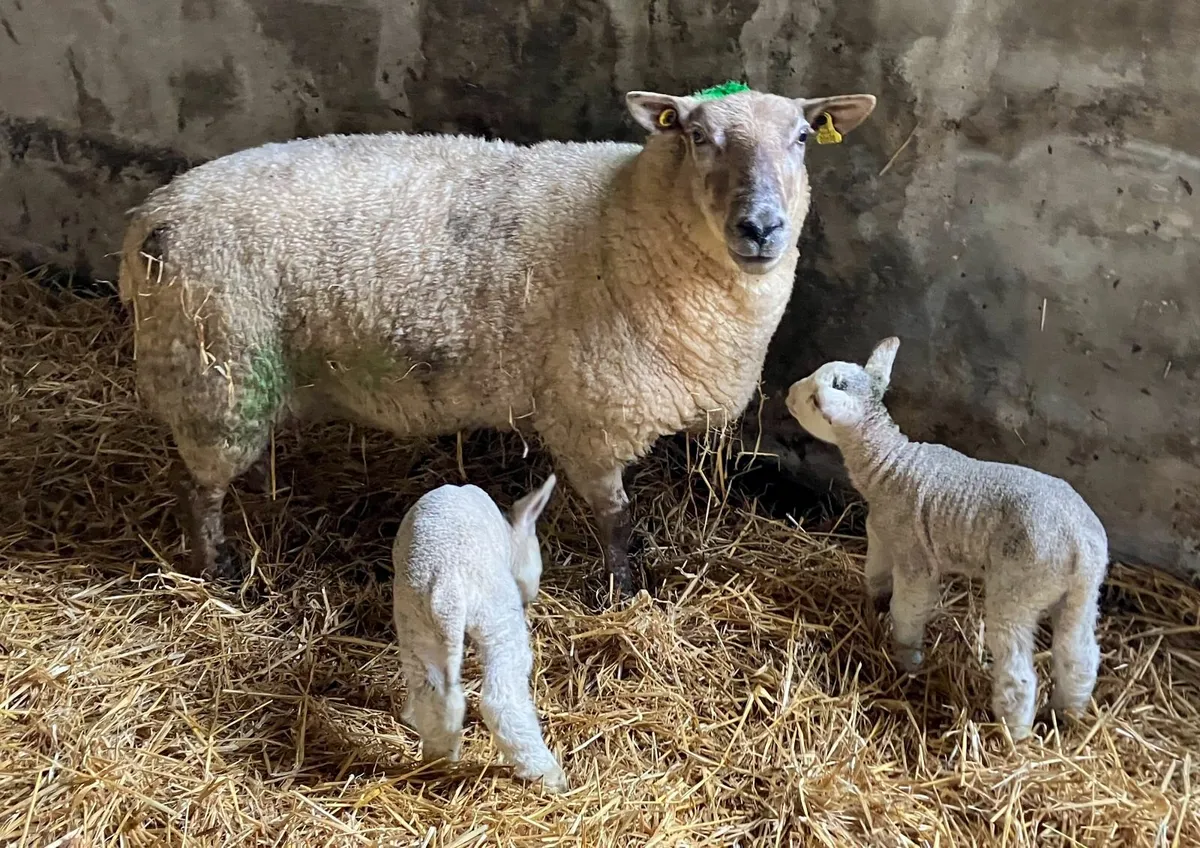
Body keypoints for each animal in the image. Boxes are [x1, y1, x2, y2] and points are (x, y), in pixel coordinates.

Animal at [117, 83, 877, 599]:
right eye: (696, 136)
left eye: (802, 138)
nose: (761, 227)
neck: (630, 220)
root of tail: (148, 220)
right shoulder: (593, 416)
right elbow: (616, 519)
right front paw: (622, 592)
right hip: (217, 375)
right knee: (197, 490)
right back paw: (218, 572)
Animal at [392, 473, 566, 791]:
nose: (527, 603)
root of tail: (446, 586)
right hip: (496, 619)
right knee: (501, 700)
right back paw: (548, 774)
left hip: (416, 626)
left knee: (432, 696)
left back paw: (439, 761)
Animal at [785, 337, 1108, 740]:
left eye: (815, 399)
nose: (787, 395)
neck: (888, 464)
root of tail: (1081, 543)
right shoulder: (881, 534)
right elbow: (876, 580)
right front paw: (873, 611)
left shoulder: (914, 555)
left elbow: (909, 609)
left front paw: (907, 661)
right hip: (1082, 593)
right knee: (1078, 654)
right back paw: (1068, 713)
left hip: (1020, 587)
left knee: (1018, 670)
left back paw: (1013, 733)